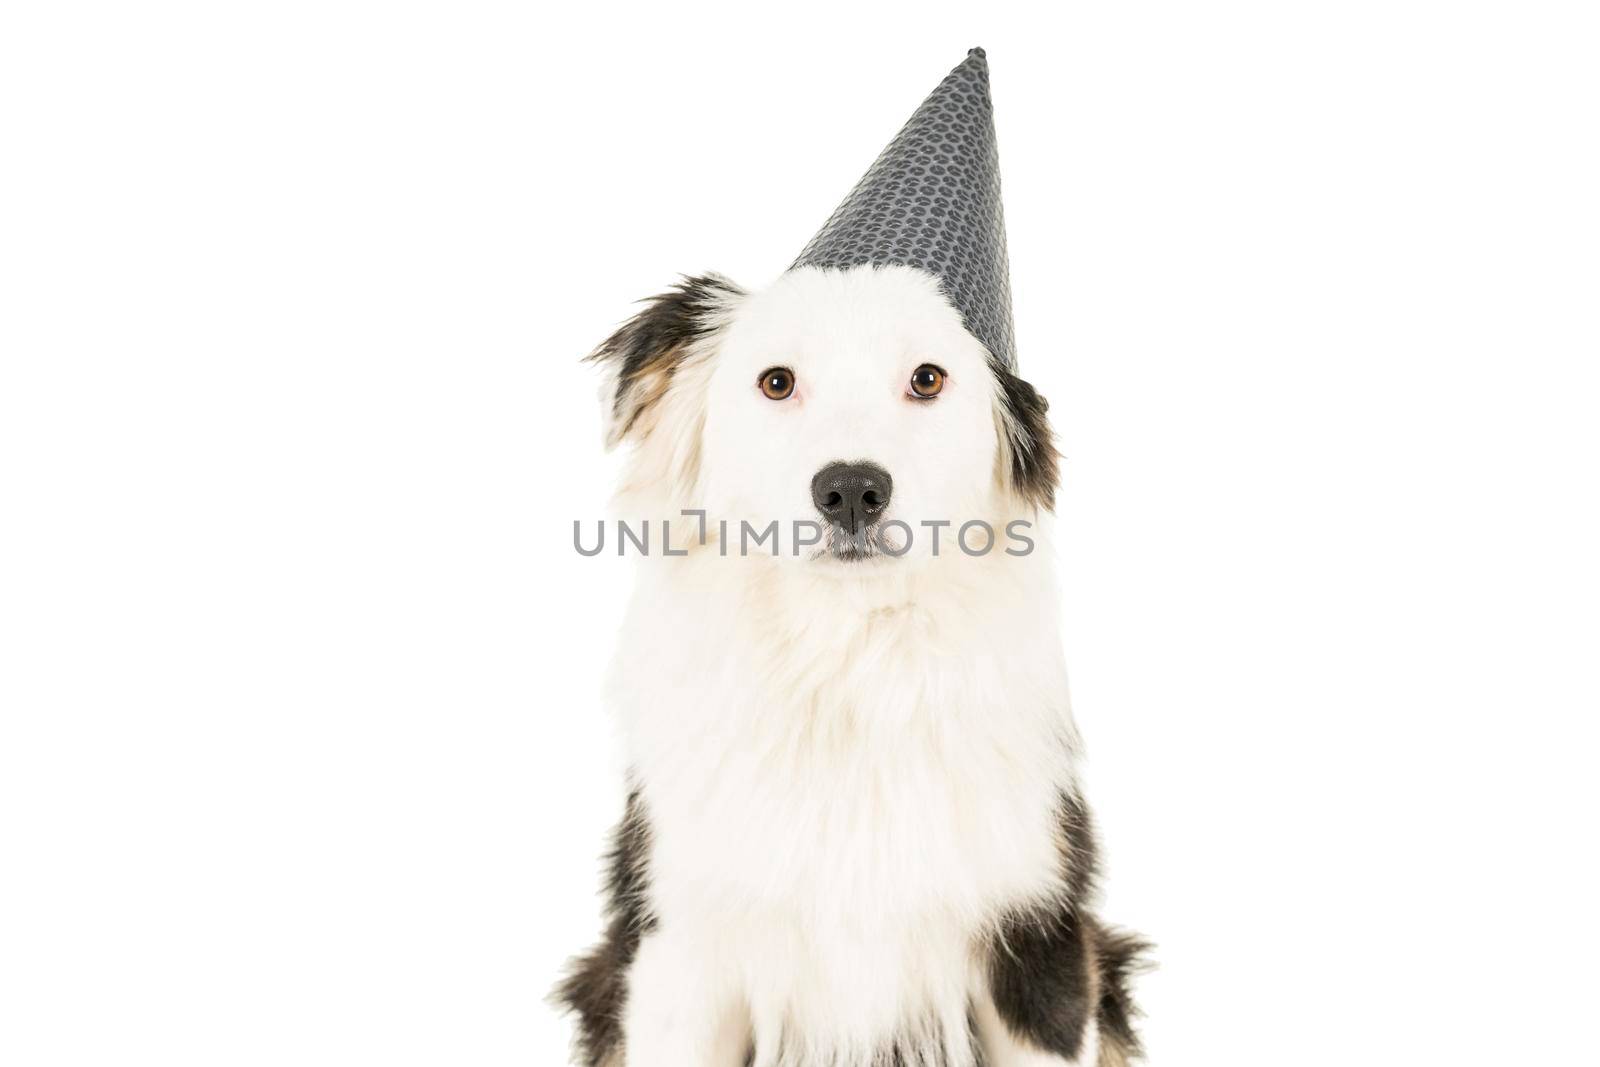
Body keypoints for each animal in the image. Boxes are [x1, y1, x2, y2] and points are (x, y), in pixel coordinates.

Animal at [556, 260, 1145, 1067]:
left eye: (927, 378)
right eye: (777, 382)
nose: (851, 491)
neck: (848, 661)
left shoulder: (1038, 935)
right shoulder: (678, 948)